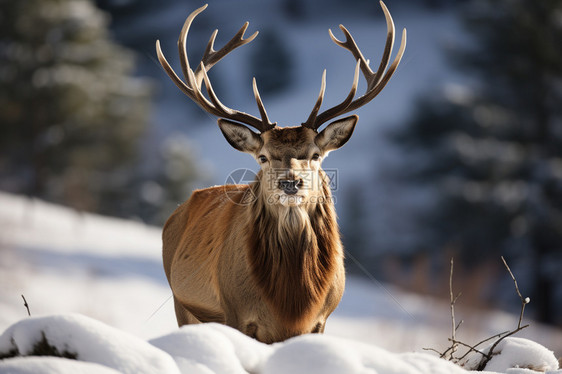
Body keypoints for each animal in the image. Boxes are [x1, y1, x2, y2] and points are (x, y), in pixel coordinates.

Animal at [155, 1, 404, 344]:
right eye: (263, 157)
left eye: (315, 155)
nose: (290, 182)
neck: (292, 301)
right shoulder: (235, 311)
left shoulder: (321, 319)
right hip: (182, 303)